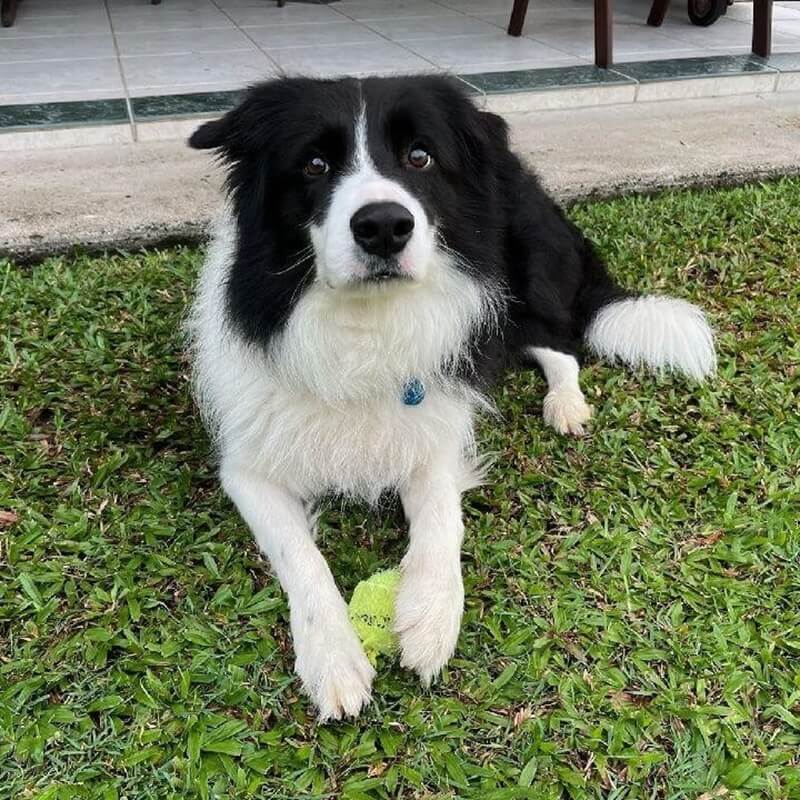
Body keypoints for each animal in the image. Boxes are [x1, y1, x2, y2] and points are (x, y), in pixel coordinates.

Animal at [186, 75, 712, 720]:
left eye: (420, 157)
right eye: (313, 165)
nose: (384, 226)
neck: (366, 328)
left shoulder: (436, 435)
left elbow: (442, 519)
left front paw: (431, 615)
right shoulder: (249, 470)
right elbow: (301, 557)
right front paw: (333, 658)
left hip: (516, 282)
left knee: (557, 344)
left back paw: (565, 405)